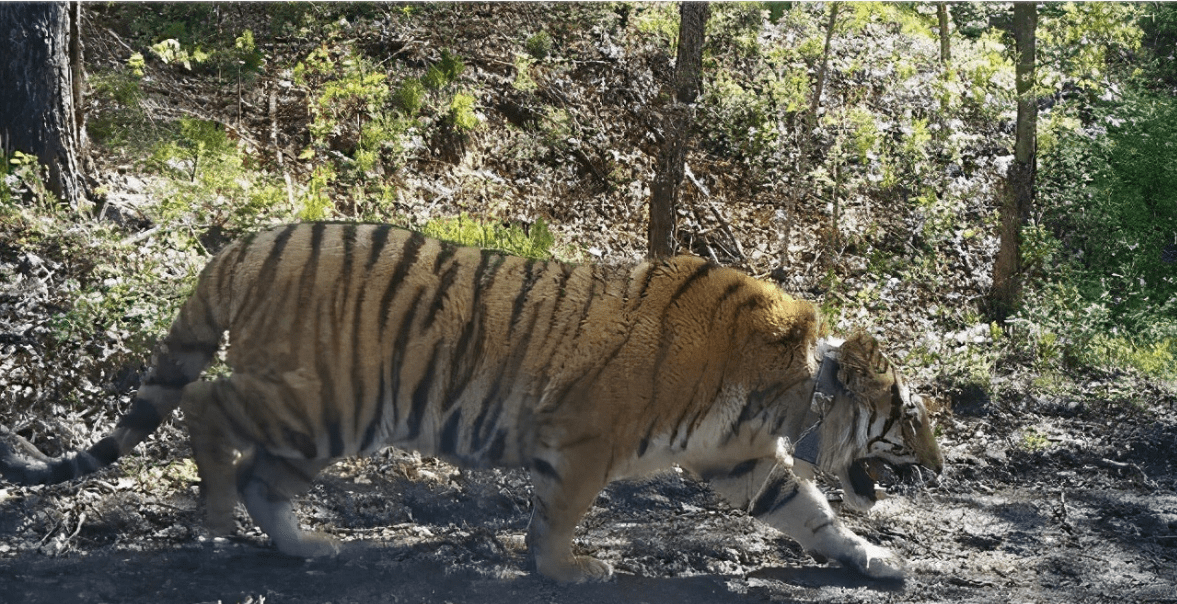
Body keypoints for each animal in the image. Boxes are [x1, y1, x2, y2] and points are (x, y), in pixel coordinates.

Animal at [0, 223, 936, 581]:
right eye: (912, 417)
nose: (935, 465)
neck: (786, 398)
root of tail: (245, 244)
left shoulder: (739, 460)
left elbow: (811, 513)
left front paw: (873, 559)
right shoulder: (587, 437)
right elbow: (561, 511)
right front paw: (565, 570)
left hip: (325, 422)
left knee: (264, 470)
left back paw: (305, 546)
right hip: (319, 401)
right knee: (205, 403)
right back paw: (216, 516)